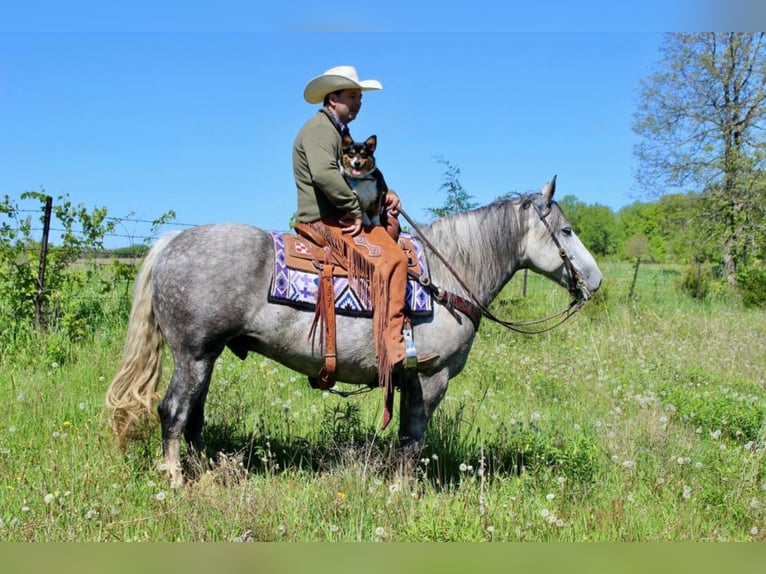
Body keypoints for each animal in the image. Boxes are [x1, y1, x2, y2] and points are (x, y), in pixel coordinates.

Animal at [105, 178, 604, 488]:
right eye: (566, 230)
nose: (595, 280)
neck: (447, 275)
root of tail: (171, 242)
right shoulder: (432, 377)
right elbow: (413, 439)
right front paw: (405, 492)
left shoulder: (409, 379)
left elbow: (404, 436)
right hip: (194, 354)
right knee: (173, 411)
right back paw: (175, 479)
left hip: (207, 357)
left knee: (193, 417)